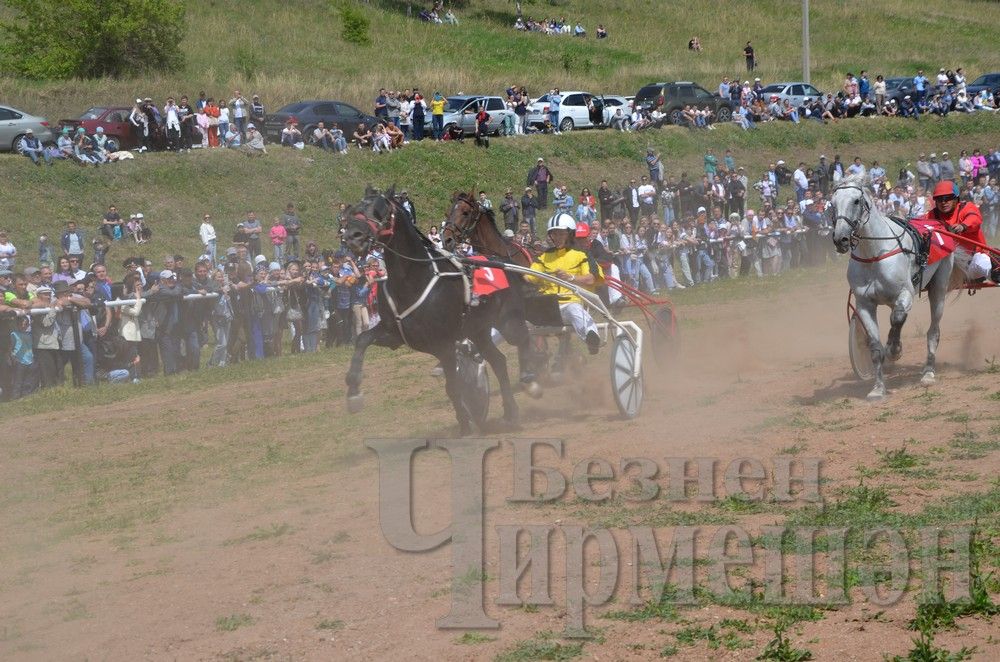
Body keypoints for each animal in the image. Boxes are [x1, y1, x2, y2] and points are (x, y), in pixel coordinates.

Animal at [824, 176, 956, 400]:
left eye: (856, 201)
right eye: (832, 203)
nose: (840, 239)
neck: (874, 254)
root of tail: (939, 225)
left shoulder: (905, 294)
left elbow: (897, 318)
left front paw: (894, 349)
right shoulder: (864, 304)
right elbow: (875, 347)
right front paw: (878, 388)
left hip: (939, 287)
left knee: (933, 331)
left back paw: (928, 372)